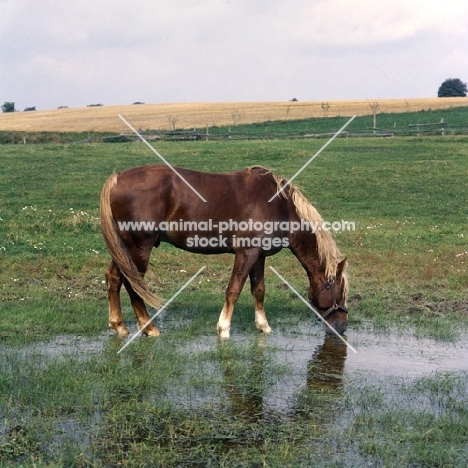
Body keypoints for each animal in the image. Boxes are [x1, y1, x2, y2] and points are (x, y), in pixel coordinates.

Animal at [99, 166, 348, 338]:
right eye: (340, 290)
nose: (342, 326)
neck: (279, 205)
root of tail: (117, 178)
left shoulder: (258, 256)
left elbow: (259, 290)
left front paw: (263, 326)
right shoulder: (246, 253)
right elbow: (233, 290)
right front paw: (224, 328)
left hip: (125, 249)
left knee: (114, 277)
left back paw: (119, 325)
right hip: (140, 249)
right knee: (133, 284)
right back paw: (149, 327)